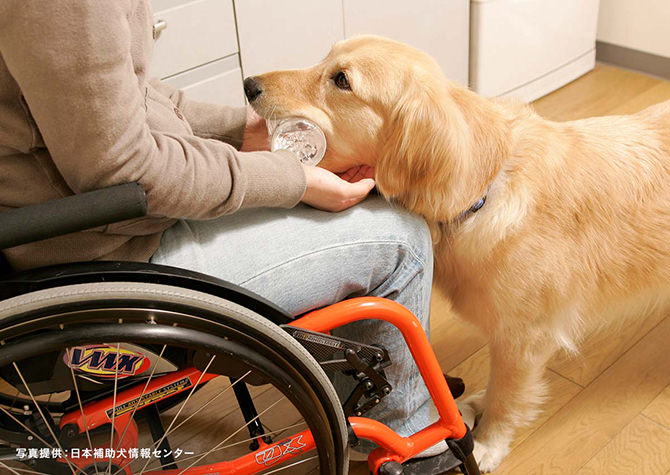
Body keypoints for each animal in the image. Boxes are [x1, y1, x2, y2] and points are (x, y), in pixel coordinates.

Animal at [245, 36, 670, 472]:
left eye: (342, 80)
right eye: (326, 58)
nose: (248, 85)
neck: (488, 183)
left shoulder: (525, 335)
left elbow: (508, 395)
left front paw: (488, 443)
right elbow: (498, 387)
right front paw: (479, 406)